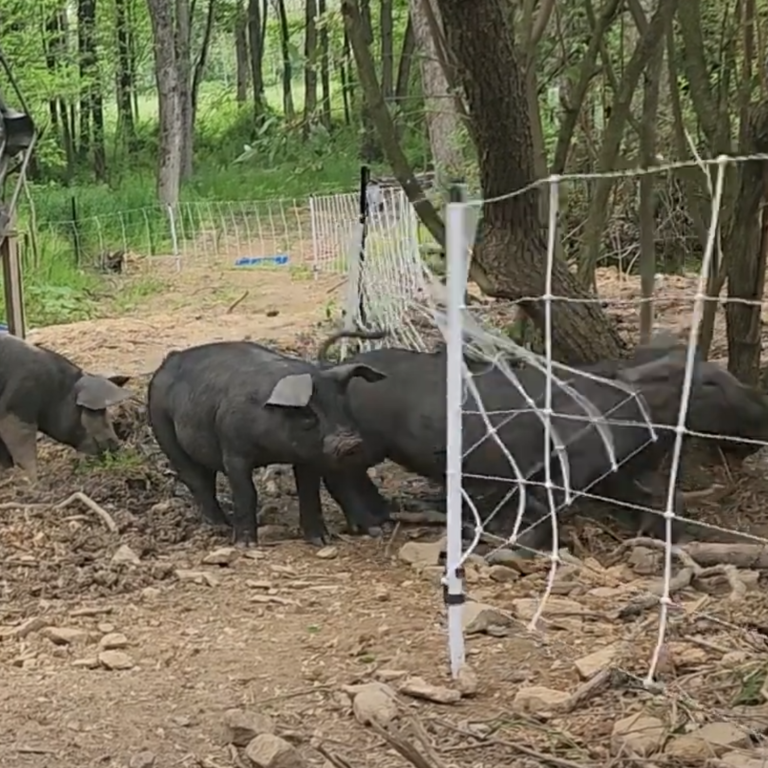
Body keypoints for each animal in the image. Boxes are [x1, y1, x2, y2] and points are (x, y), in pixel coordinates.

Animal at [147, 338, 387, 547]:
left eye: (343, 406)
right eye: (308, 416)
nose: (351, 443)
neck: (273, 450)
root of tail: (171, 358)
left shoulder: (307, 455)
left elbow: (309, 491)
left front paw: (321, 541)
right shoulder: (234, 452)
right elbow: (246, 493)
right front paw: (245, 545)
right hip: (162, 427)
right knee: (196, 480)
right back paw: (220, 527)